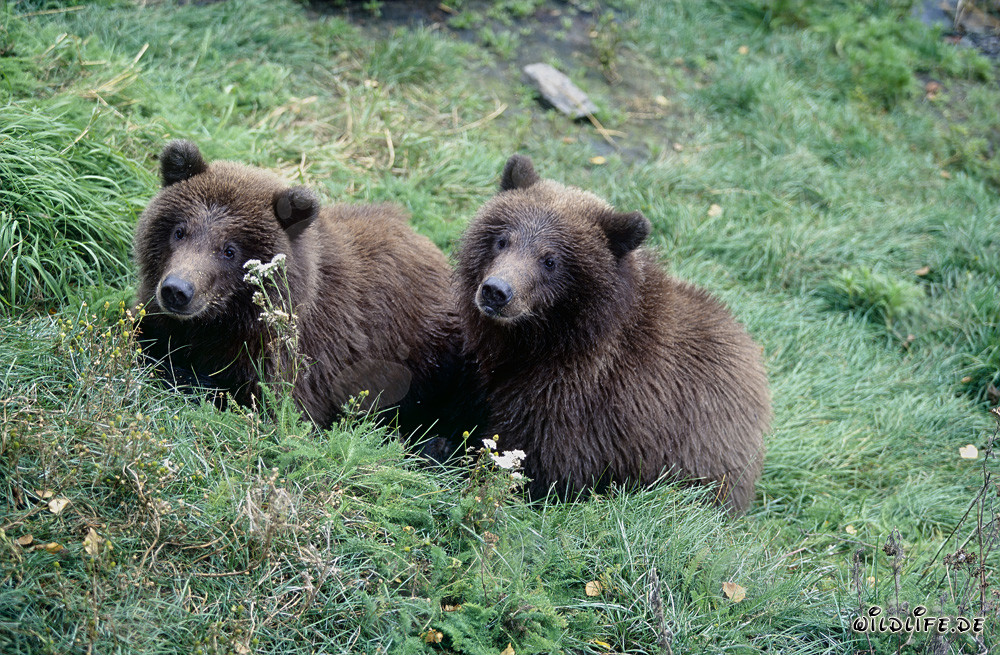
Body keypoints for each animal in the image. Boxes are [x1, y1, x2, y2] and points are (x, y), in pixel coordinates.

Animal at [134, 140, 483, 446]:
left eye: (229, 250)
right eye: (180, 231)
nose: (177, 290)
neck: (226, 321)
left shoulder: (301, 357)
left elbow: (278, 409)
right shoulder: (163, 320)